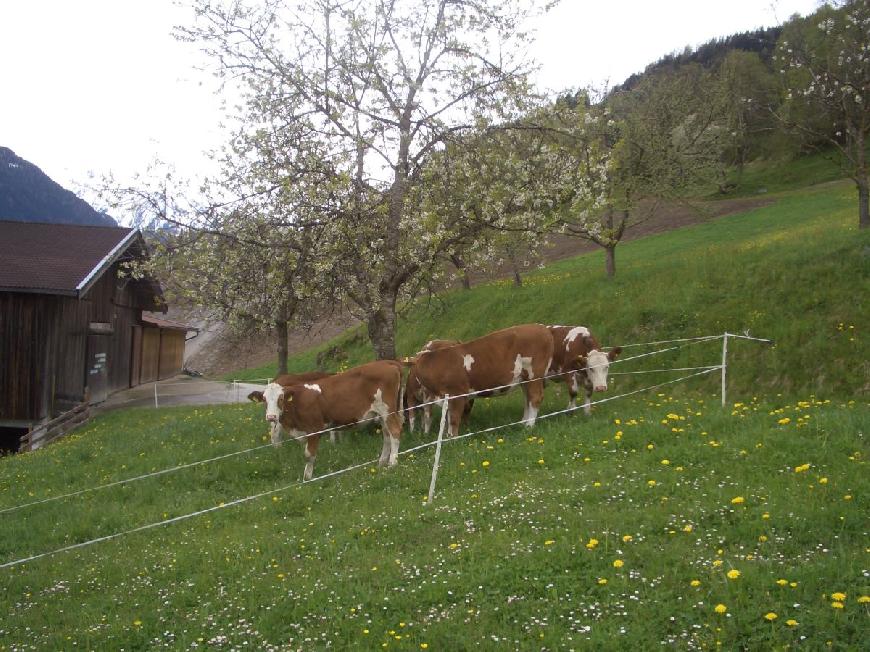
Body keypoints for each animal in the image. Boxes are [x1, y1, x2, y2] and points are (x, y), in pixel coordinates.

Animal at [258, 360, 404, 482]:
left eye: (281, 398)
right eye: (264, 400)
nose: (271, 417)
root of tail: (387, 362)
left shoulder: (314, 429)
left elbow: (308, 455)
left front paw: (307, 479)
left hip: (387, 410)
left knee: (395, 431)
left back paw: (392, 463)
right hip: (381, 414)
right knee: (387, 435)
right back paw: (381, 462)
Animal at [408, 322, 552, 438]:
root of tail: (541, 328)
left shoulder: (457, 394)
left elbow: (453, 419)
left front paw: (452, 439)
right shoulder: (447, 398)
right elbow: (447, 418)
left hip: (534, 375)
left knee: (535, 398)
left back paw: (529, 426)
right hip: (524, 378)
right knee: (527, 399)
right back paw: (522, 423)